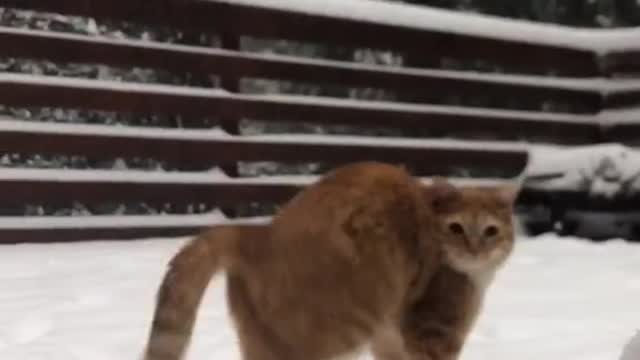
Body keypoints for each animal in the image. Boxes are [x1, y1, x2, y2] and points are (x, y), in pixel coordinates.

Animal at [141, 162, 520, 358]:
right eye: (456, 228)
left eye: (491, 231)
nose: (476, 248)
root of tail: (260, 233)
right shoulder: (431, 334)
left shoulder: (389, 339)